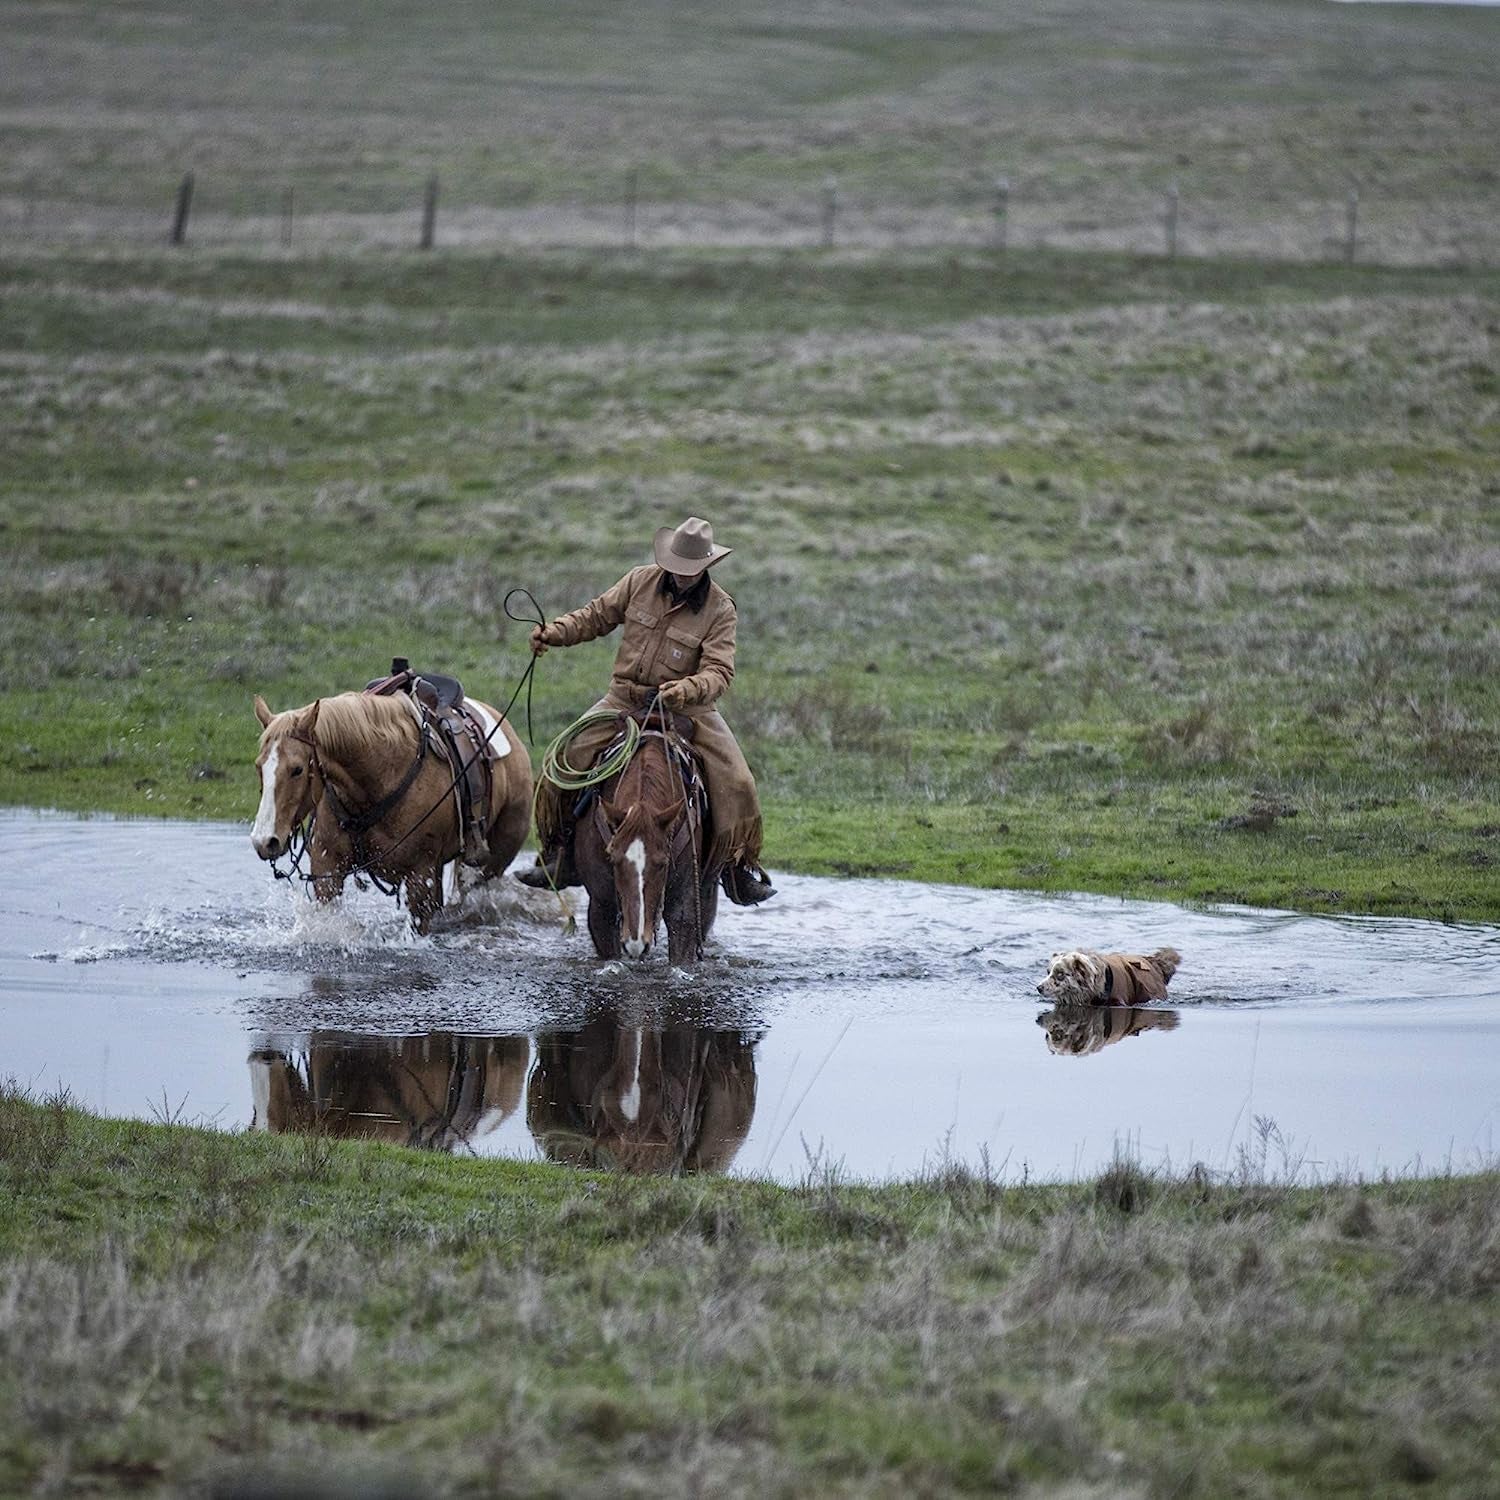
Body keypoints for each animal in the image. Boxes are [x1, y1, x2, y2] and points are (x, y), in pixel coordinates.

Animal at [256, 687, 534, 924]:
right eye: (259, 766)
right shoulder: (327, 869)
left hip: (491, 862)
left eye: (297, 770)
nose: (264, 841)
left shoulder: (420, 877)